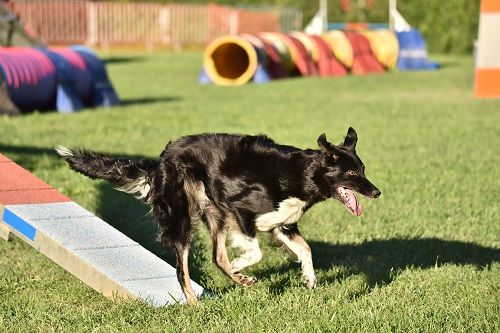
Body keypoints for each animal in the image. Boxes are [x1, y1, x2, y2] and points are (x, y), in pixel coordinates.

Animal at [55, 127, 378, 304]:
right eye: (351, 173)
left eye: (362, 169)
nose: (376, 193)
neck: (301, 174)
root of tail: (160, 160)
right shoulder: (241, 210)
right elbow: (255, 251)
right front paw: (241, 264)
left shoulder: (282, 225)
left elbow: (306, 250)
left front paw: (309, 279)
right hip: (185, 218)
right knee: (183, 270)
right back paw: (197, 304)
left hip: (214, 213)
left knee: (215, 256)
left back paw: (240, 281)